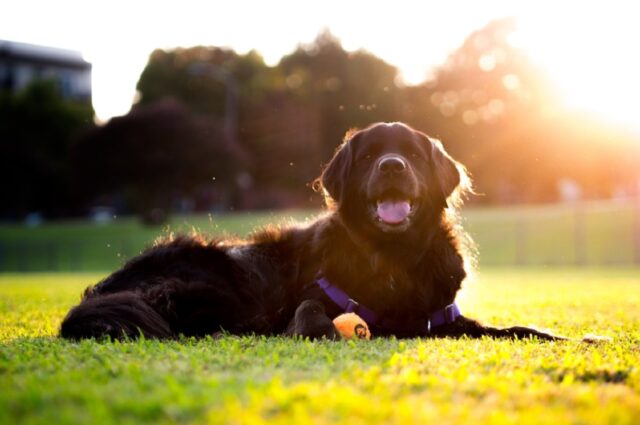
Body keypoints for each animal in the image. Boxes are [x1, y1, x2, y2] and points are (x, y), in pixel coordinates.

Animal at [60, 121, 560, 340]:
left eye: (414, 155)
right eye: (368, 155)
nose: (392, 166)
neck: (392, 259)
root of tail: (103, 289)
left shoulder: (441, 318)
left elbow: (518, 328)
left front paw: (568, 337)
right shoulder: (312, 299)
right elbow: (308, 311)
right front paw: (318, 330)